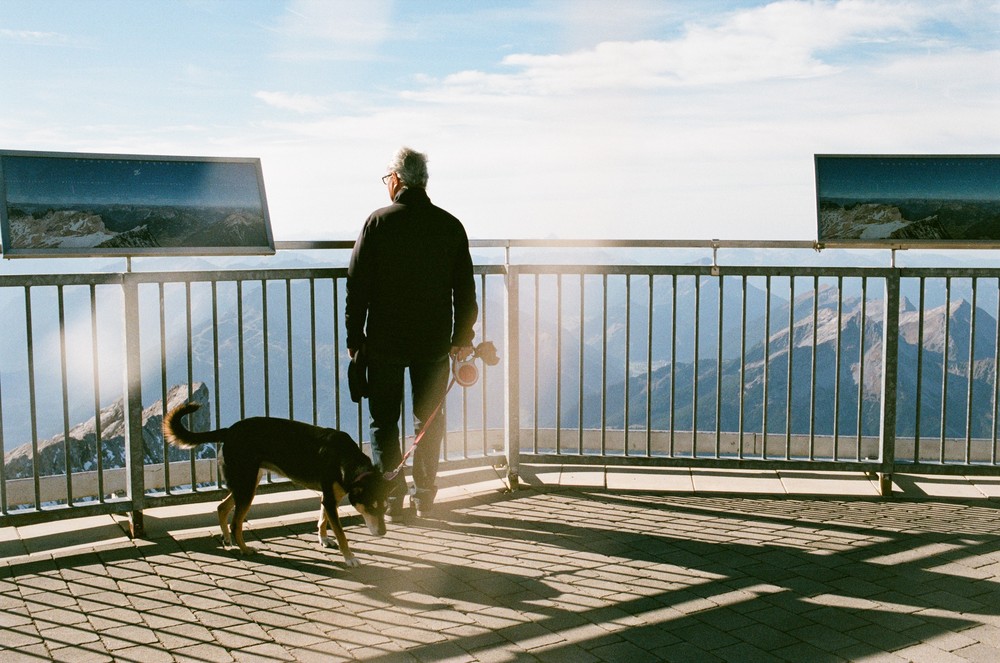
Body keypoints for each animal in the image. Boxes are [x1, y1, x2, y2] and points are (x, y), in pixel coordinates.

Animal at [162, 402, 388, 568]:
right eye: (370, 508)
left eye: (385, 508)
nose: (383, 533)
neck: (345, 458)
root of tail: (229, 431)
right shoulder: (331, 499)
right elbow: (341, 533)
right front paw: (349, 557)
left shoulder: (330, 497)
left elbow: (323, 519)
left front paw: (323, 539)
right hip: (247, 486)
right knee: (236, 523)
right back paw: (245, 549)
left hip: (246, 482)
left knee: (221, 507)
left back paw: (227, 539)